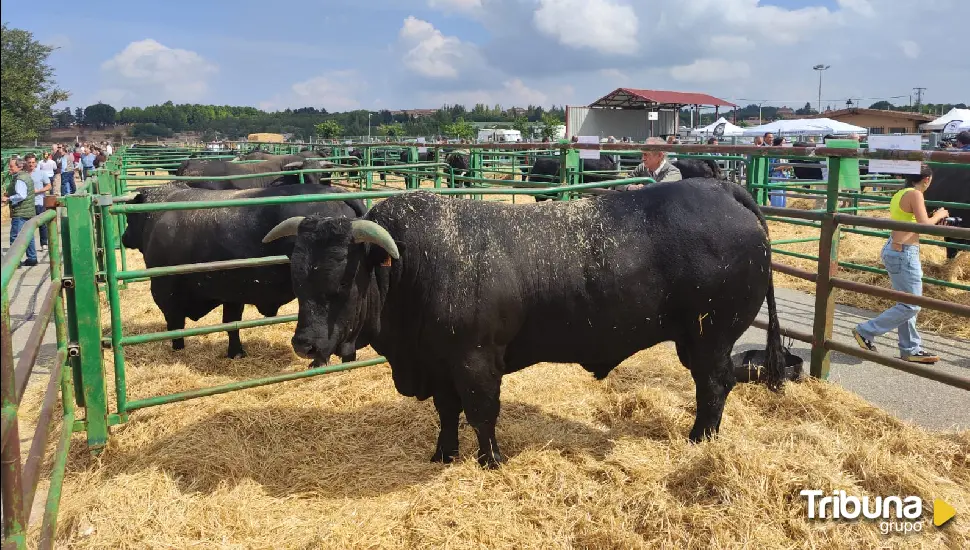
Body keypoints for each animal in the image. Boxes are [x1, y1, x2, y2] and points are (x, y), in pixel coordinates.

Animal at [262, 182, 788, 470]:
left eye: (340, 281)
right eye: (297, 278)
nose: (304, 343)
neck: (414, 267)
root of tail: (721, 190)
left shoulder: (475, 361)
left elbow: (482, 413)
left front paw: (490, 461)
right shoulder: (438, 362)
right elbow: (447, 413)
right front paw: (444, 453)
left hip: (710, 336)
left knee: (714, 384)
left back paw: (700, 439)